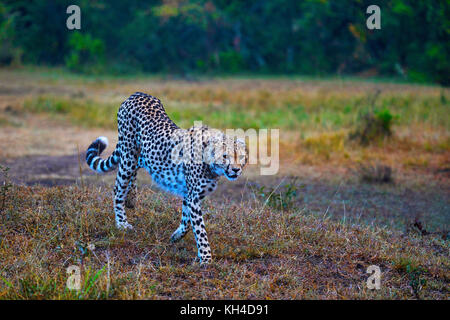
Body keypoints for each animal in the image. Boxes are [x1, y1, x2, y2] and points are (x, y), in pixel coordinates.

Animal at [86, 92, 248, 262]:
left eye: (241, 157)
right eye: (225, 156)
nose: (236, 170)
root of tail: (137, 94)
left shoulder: (190, 194)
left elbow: (186, 222)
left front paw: (176, 236)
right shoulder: (193, 196)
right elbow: (200, 230)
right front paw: (206, 259)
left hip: (143, 155)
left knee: (135, 168)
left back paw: (131, 198)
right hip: (129, 153)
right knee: (118, 188)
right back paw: (122, 223)